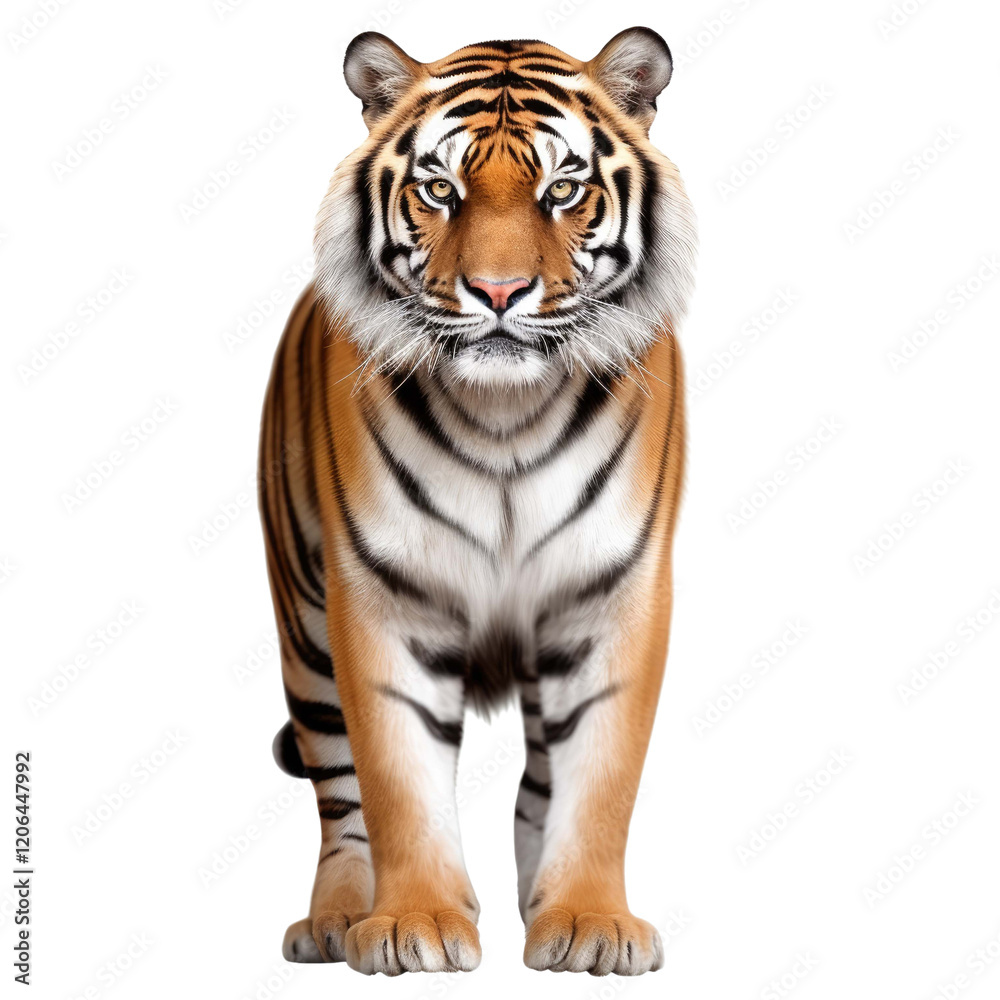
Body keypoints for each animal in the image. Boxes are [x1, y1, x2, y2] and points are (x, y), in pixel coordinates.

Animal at [258, 26, 696, 976]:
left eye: (562, 189)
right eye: (439, 190)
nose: (498, 294)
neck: (506, 417)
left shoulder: (614, 594)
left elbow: (599, 778)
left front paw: (591, 921)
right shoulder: (381, 597)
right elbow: (397, 782)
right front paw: (414, 923)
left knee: (541, 781)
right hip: (304, 626)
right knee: (339, 795)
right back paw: (335, 920)